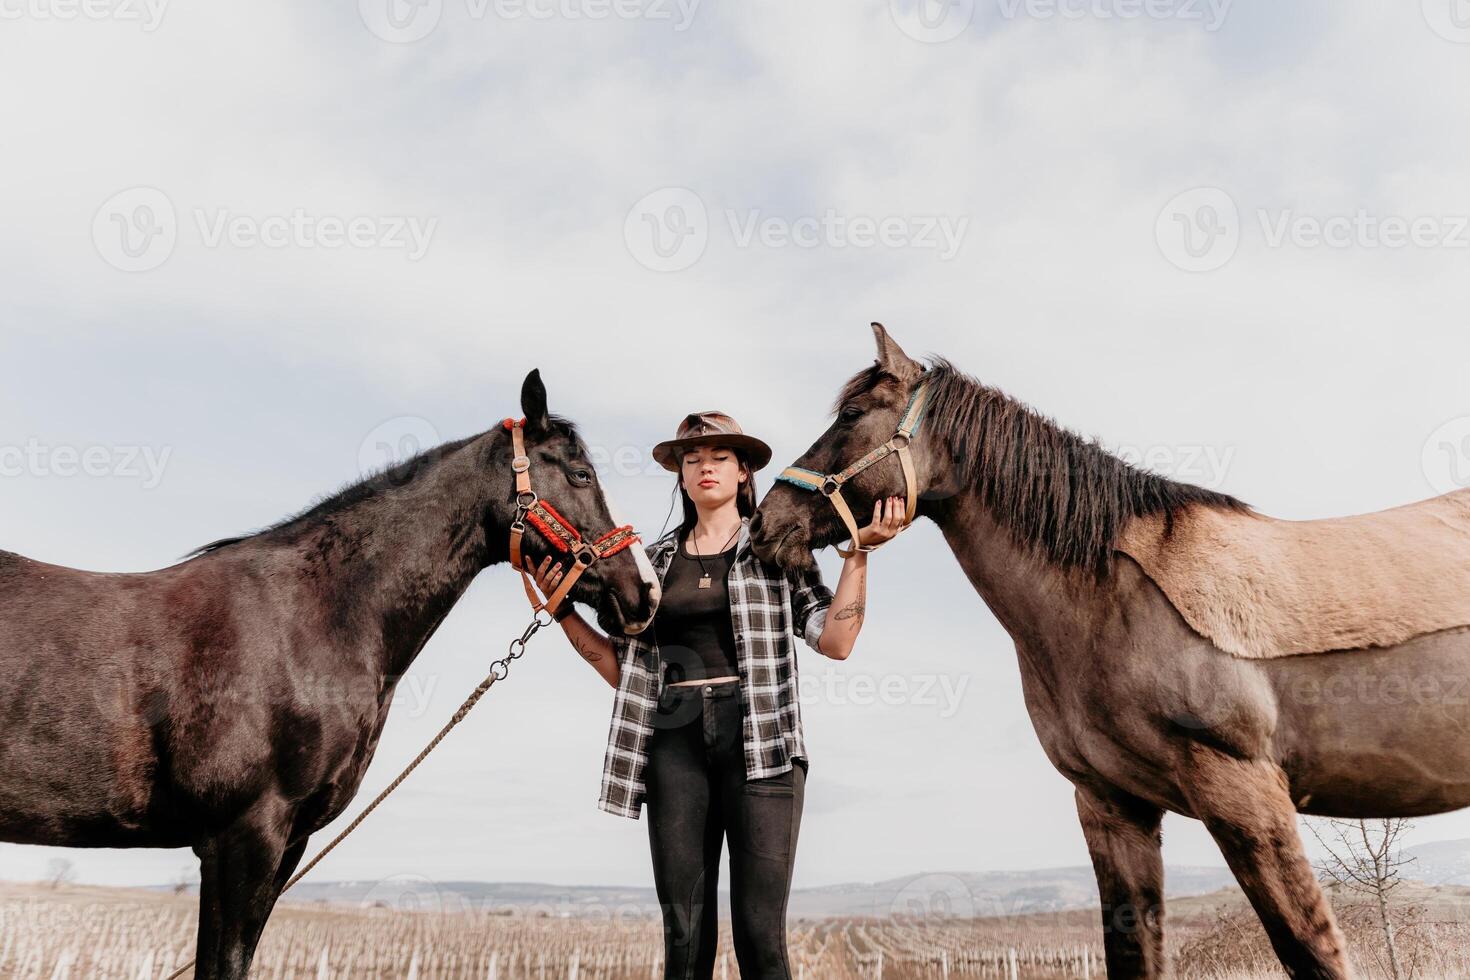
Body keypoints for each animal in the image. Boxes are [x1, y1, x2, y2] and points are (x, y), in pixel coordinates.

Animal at [752, 326, 1470, 975]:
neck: (1108, 599)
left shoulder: (1246, 794)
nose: (765, 524)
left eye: (851, 416)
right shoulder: (1111, 807)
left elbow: (1312, 952)